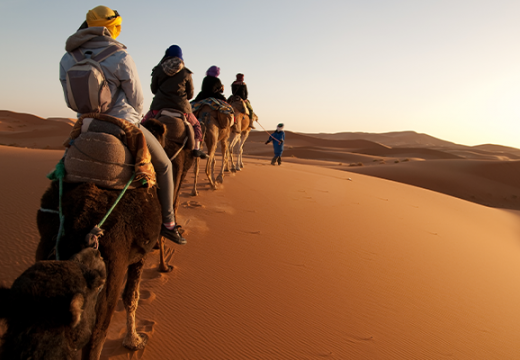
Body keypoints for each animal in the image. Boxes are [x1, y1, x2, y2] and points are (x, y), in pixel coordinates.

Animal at [35, 117, 179, 358]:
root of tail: (79, 220)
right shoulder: (138, 255)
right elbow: (131, 297)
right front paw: (134, 341)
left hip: (46, 254)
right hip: (109, 271)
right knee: (97, 335)